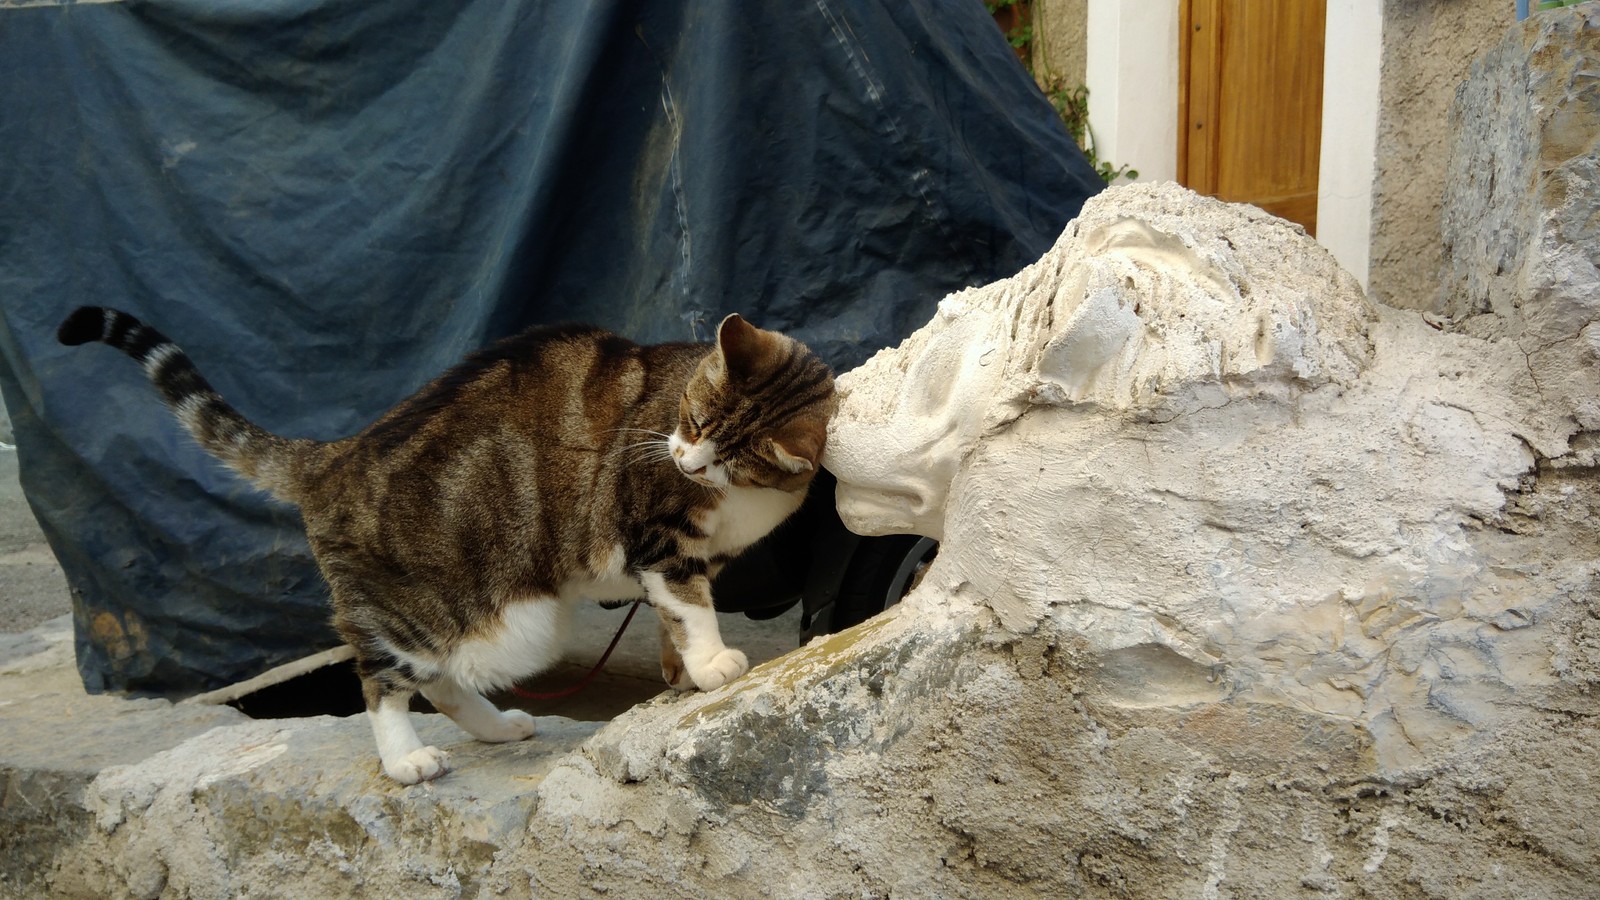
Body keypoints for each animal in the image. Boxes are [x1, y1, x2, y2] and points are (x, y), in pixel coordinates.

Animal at [59, 304, 838, 781]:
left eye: (731, 456)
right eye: (694, 418)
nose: (684, 462)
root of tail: (336, 456)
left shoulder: (696, 556)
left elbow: (675, 613)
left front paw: (680, 670)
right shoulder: (659, 539)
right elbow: (691, 607)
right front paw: (711, 663)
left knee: (438, 682)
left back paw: (497, 729)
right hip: (437, 608)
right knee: (381, 682)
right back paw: (406, 762)